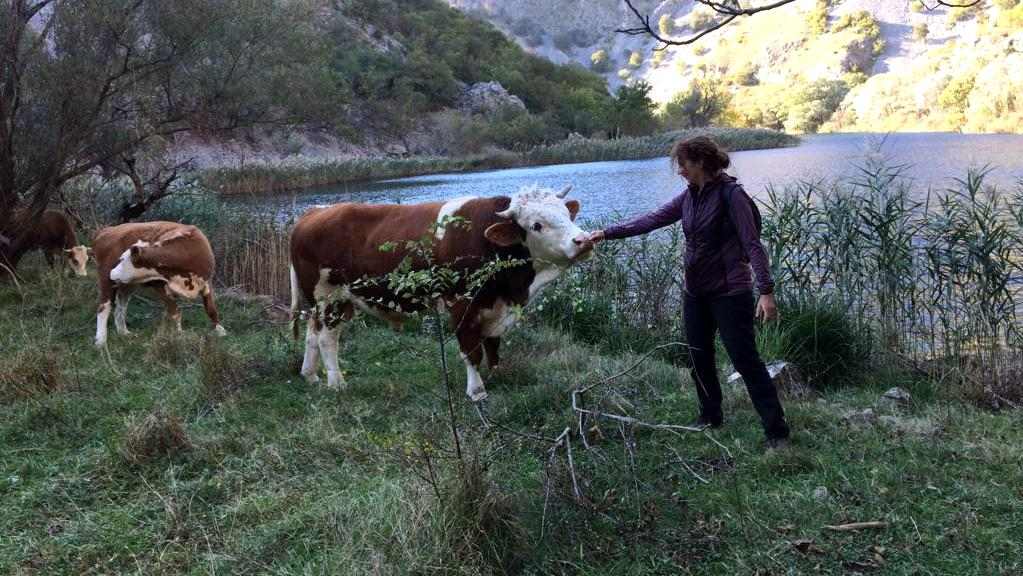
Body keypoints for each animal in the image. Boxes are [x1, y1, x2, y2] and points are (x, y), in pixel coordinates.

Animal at [92, 220, 226, 347]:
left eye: (122, 259)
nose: (112, 272)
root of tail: (107, 230)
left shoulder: (207, 282)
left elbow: (211, 310)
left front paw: (220, 331)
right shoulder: (159, 285)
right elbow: (175, 312)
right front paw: (179, 335)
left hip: (128, 284)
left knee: (121, 306)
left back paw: (124, 333)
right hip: (106, 280)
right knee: (103, 307)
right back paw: (100, 342)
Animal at [288, 185, 593, 401]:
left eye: (567, 215)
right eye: (536, 225)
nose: (584, 240)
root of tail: (313, 212)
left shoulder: (495, 306)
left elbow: (493, 346)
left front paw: (497, 375)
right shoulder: (462, 305)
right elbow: (471, 350)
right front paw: (477, 391)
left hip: (329, 301)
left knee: (312, 334)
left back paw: (310, 376)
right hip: (329, 297)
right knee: (327, 339)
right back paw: (337, 383)